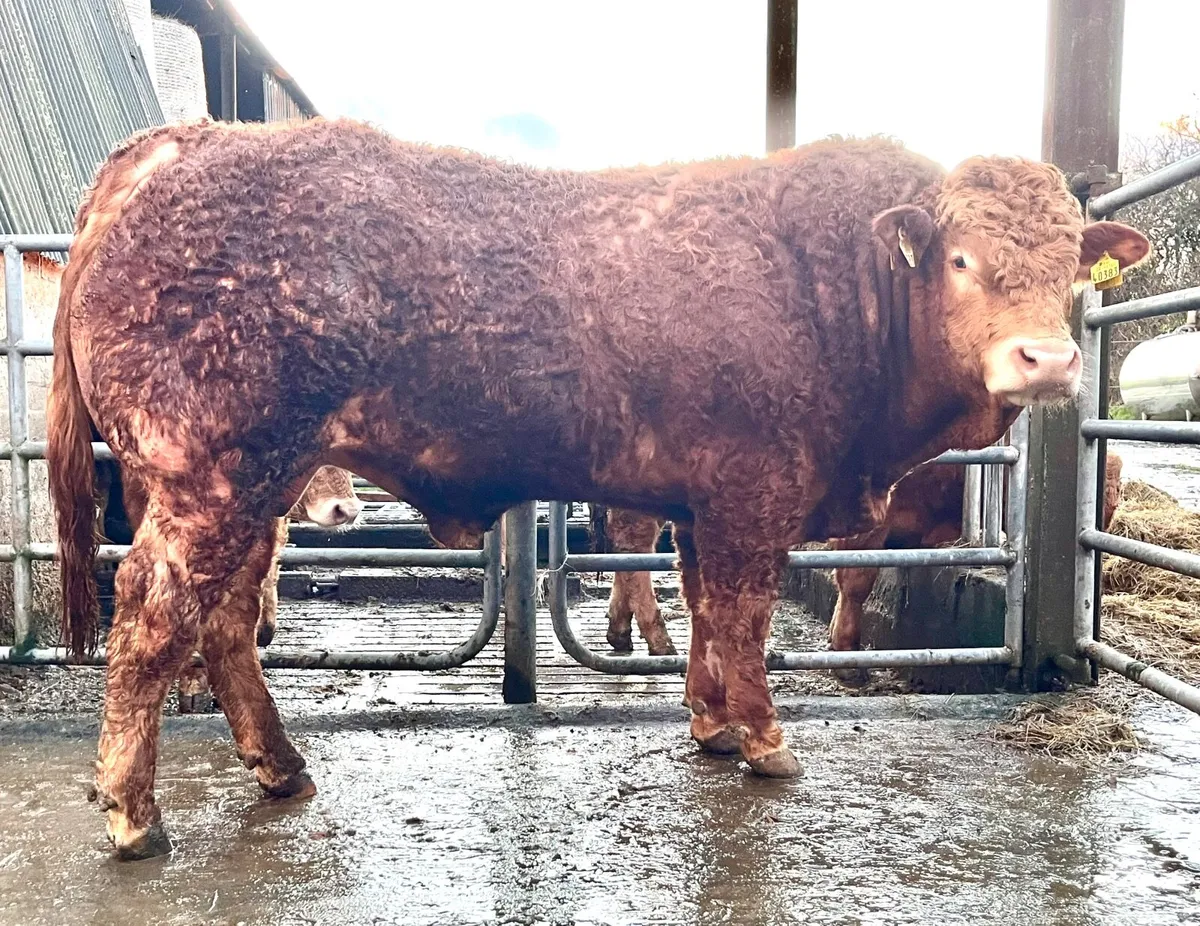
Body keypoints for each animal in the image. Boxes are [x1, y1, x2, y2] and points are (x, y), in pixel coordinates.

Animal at [46, 118, 1149, 859]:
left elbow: (704, 607)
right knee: (154, 614)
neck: (839, 286)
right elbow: (743, 616)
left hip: (248, 486)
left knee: (228, 620)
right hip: (213, 476)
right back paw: (133, 813)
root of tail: (179, 145)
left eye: (1071, 267)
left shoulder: (704, 502)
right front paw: (766, 738)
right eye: (962, 259)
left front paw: (710, 721)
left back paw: (279, 765)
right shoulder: (755, 491)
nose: (1049, 359)